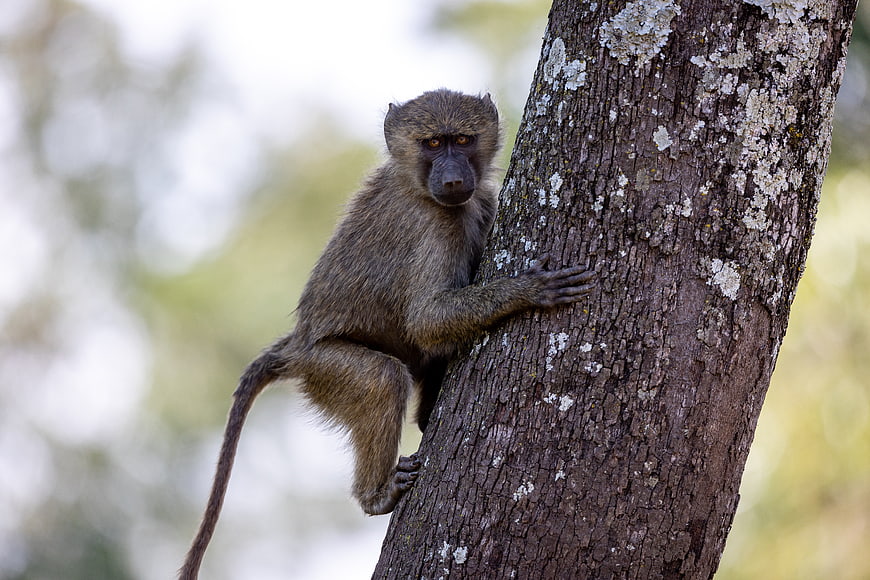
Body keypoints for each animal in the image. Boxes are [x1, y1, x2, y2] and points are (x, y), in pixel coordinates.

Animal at [180, 89, 595, 579]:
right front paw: (529, 289)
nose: (453, 179)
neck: (419, 186)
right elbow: (426, 319)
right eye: (432, 144)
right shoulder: (433, 226)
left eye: (462, 139)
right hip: (324, 366)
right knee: (382, 378)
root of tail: (297, 344)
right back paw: (376, 496)